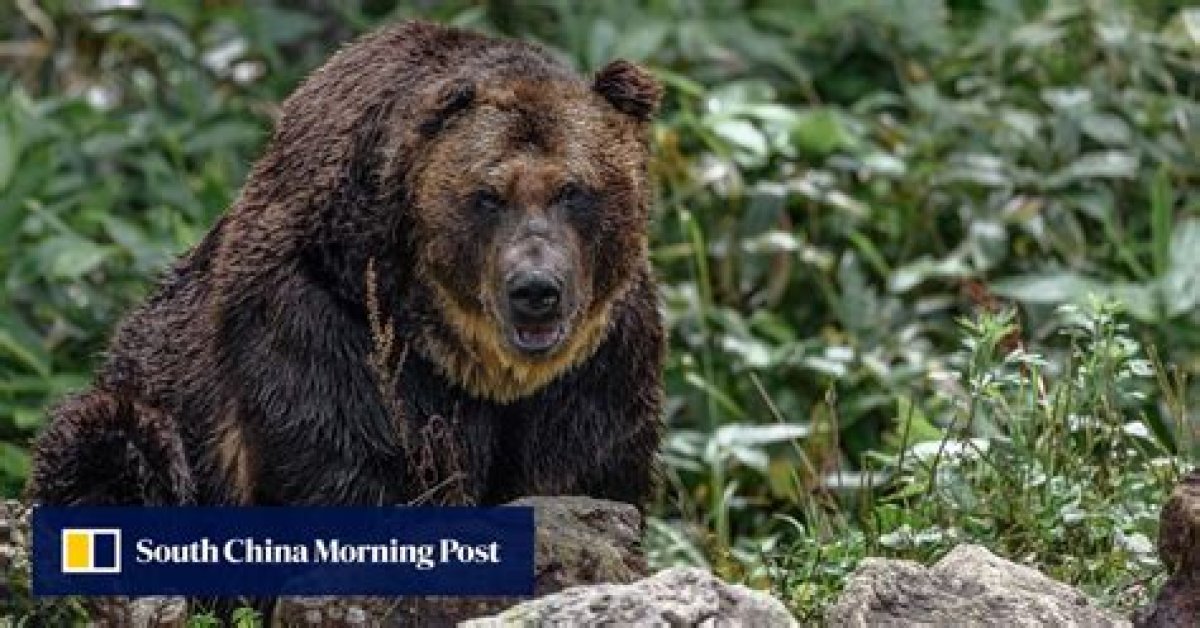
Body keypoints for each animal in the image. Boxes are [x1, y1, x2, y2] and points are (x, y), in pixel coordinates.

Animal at [27, 20, 664, 511]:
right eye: (488, 196)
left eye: (572, 190)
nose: (536, 290)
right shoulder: (322, 318)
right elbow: (343, 458)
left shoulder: (600, 359)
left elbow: (582, 469)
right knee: (117, 442)